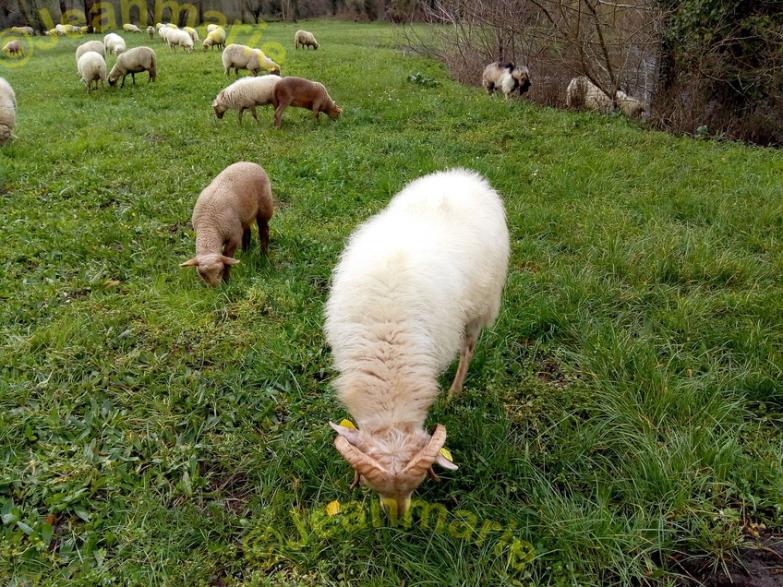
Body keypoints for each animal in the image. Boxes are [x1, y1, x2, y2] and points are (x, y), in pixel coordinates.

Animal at [325, 169, 510, 515]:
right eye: (372, 486)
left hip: (480, 307)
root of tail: (462, 175)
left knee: (468, 349)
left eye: (419, 485)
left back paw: (454, 392)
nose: (397, 521)